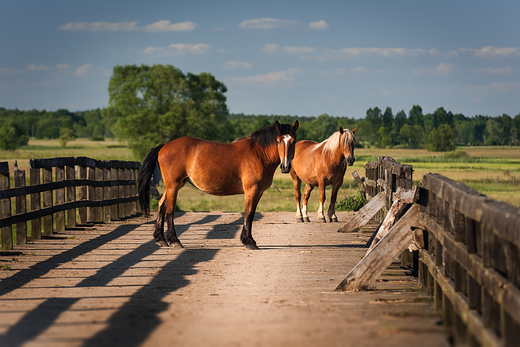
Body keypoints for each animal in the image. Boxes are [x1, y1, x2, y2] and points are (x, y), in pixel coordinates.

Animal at [138, 121, 298, 250]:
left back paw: (160, 239)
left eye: (294, 141)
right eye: (278, 141)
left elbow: (250, 214)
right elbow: (249, 214)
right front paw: (249, 242)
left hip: (173, 186)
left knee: (161, 205)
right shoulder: (251, 190)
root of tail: (164, 146)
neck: (258, 153)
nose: (285, 167)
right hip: (173, 186)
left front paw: (248, 240)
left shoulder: (259, 192)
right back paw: (174, 241)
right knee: (170, 210)